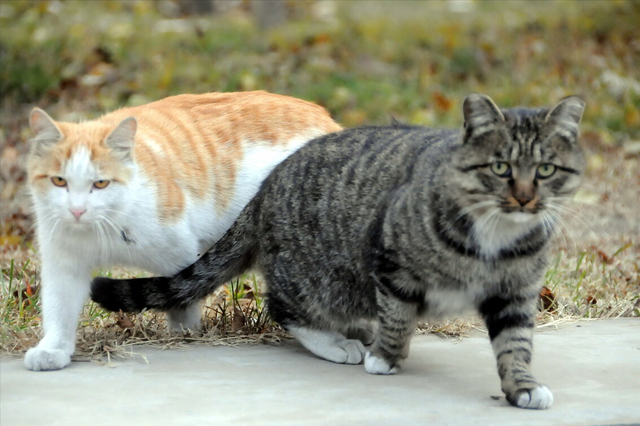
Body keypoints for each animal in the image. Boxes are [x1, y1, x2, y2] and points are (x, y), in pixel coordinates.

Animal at [26, 90, 342, 370]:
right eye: (59, 181)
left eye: (101, 183)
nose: (77, 210)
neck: (100, 229)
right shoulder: (63, 262)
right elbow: (59, 307)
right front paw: (52, 349)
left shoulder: (178, 254)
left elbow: (181, 298)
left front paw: (185, 334)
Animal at [90, 94, 584, 410]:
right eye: (500, 167)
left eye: (546, 170)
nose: (525, 198)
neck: (497, 235)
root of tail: (268, 186)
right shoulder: (391, 264)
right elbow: (398, 317)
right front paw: (385, 358)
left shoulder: (515, 293)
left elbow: (516, 344)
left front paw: (522, 387)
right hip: (324, 277)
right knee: (284, 306)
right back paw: (335, 342)